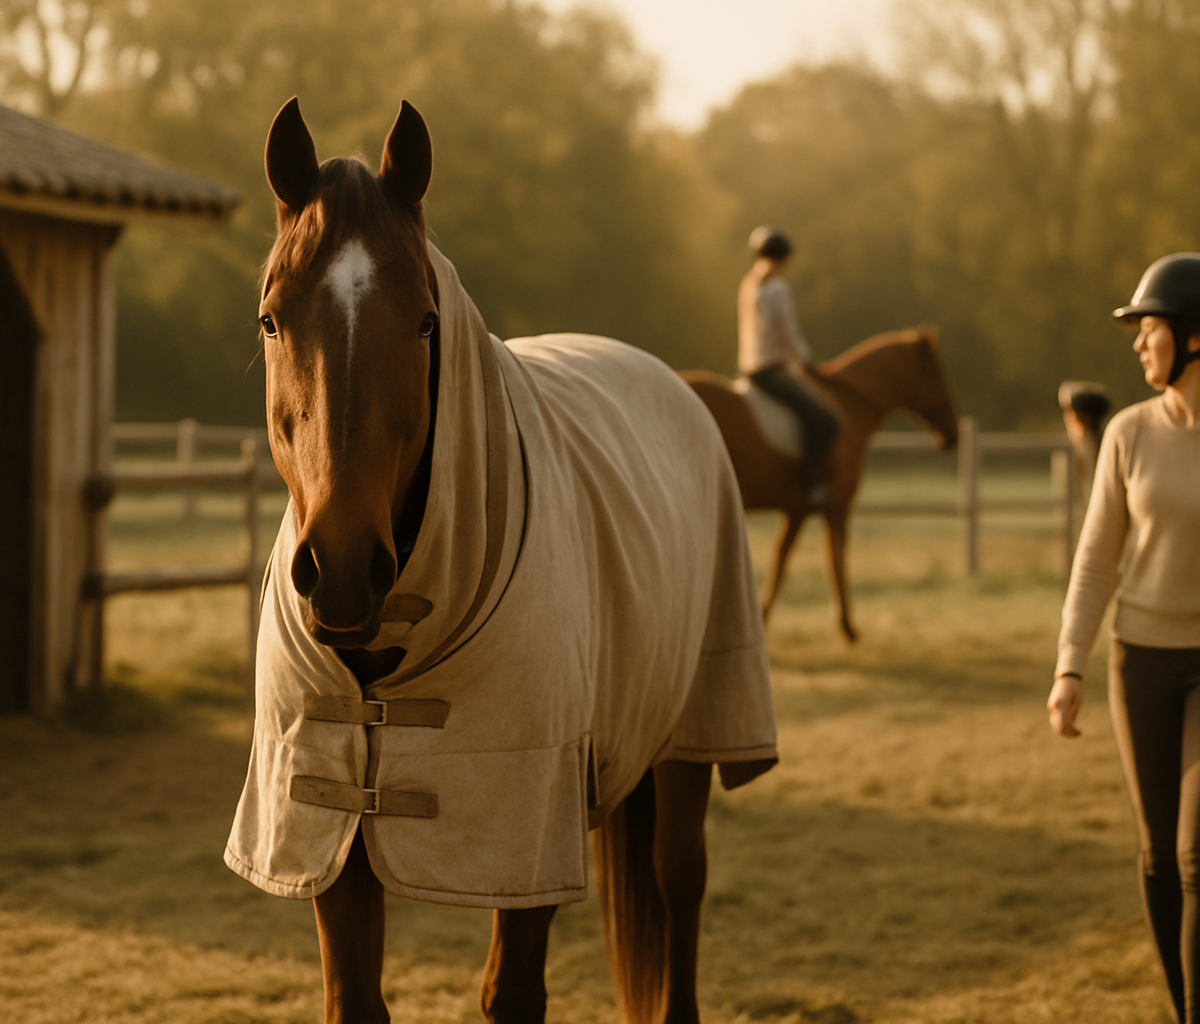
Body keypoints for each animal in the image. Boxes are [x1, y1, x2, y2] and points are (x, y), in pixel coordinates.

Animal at [225, 98, 778, 1024]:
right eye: (272, 319)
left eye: (424, 321)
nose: (341, 569)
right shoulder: (326, 826)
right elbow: (356, 996)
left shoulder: (523, 830)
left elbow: (512, 992)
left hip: (694, 730)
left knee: (679, 886)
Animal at [682, 327, 959, 641]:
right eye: (937, 373)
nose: (953, 434)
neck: (848, 403)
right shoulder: (837, 504)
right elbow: (836, 556)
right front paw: (847, 626)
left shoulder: (797, 510)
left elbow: (781, 559)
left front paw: (762, 617)